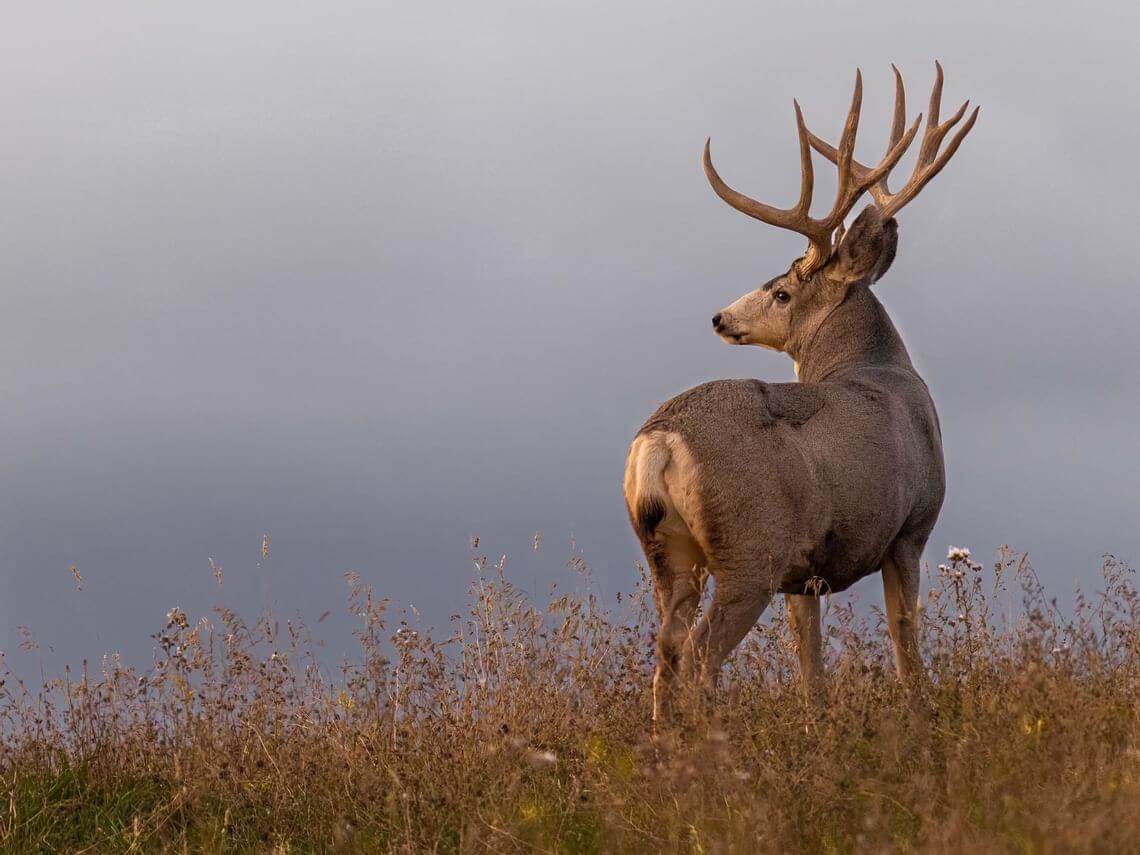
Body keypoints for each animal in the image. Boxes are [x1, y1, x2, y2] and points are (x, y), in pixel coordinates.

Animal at [623, 63, 978, 720]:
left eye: (782, 292)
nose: (720, 317)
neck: (878, 368)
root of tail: (659, 440)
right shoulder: (910, 529)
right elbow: (905, 641)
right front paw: (921, 716)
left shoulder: (804, 570)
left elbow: (809, 662)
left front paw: (817, 725)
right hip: (747, 549)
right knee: (698, 656)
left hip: (670, 552)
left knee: (666, 651)